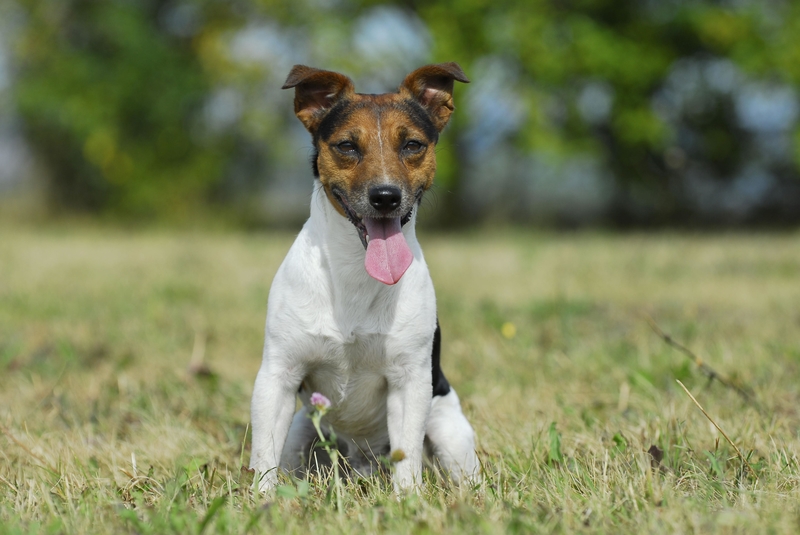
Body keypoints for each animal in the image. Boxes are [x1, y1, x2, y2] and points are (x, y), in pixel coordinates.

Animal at [248, 62, 482, 494]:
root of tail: (361, 462)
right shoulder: (277, 377)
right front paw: (260, 501)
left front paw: (408, 501)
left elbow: (408, 459)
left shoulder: (409, 382)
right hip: (300, 433)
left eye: (412, 145)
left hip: (450, 433)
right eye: (346, 146)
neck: (356, 267)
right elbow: (263, 459)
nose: (386, 196)